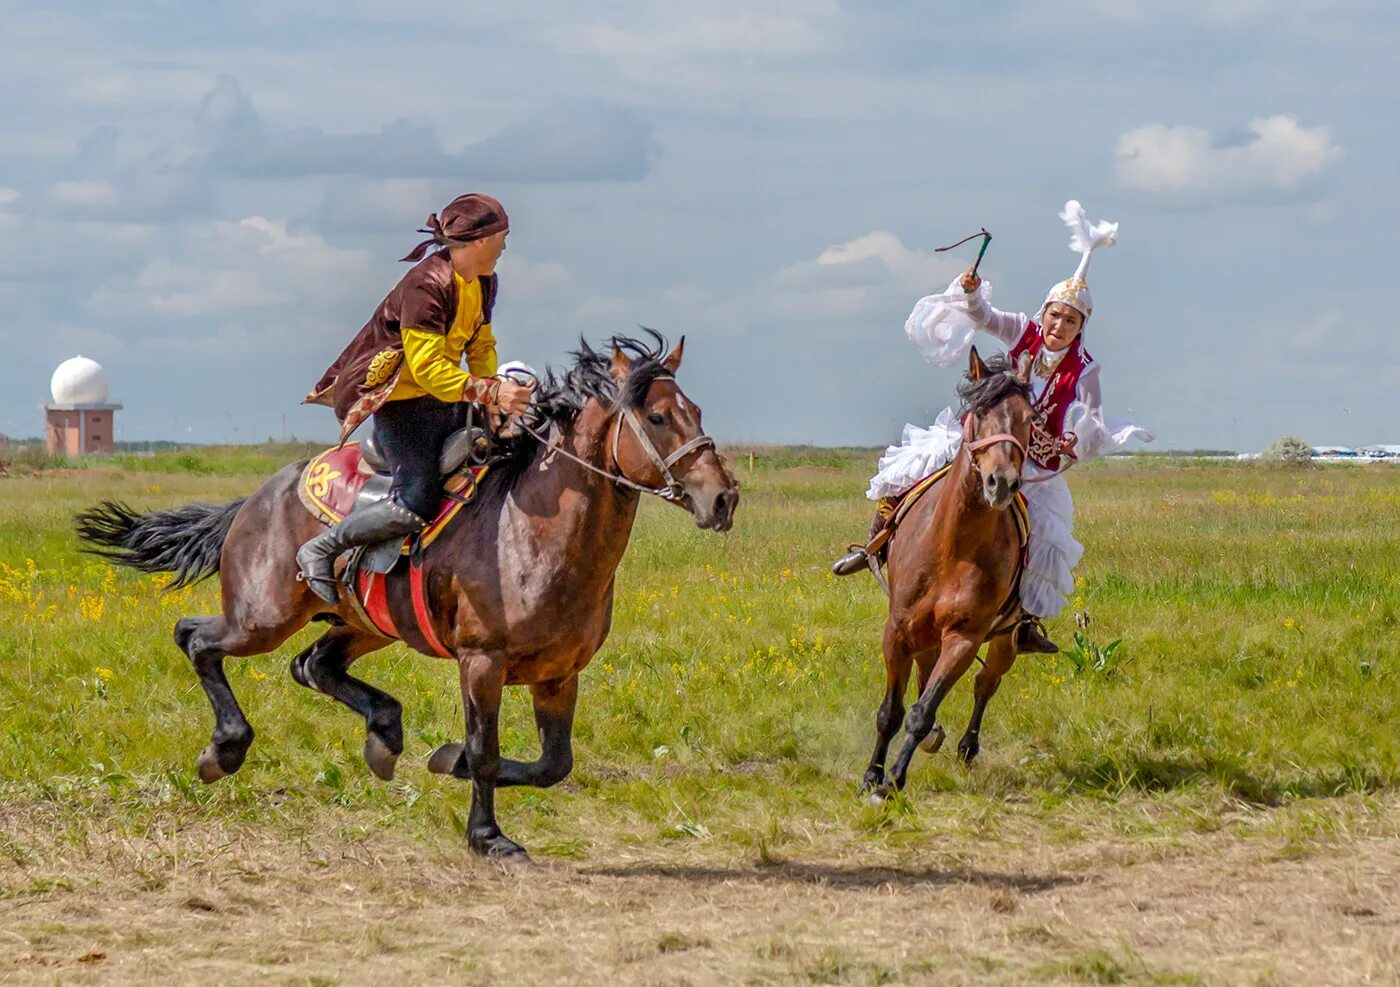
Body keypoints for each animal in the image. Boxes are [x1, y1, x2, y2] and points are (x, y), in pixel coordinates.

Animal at [76, 333, 739, 856]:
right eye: (657, 418)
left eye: (697, 409)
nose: (723, 497)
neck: (533, 533)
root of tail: (255, 500)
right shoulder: (481, 663)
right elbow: (487, 749)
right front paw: (488, 836)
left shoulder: (559, 674)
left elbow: (553, 764)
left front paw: (448, 761)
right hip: (260, 617)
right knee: (196, 638)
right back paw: (225, 750)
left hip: (363, 624)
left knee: (311, 664)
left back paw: (384, 735)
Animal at [856, 347, 1036, 795]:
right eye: (980, 412)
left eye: (1029, 419)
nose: (1001, 483)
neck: (951, 547)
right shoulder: (898, 629)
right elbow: (891, 711)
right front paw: (872, 775)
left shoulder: (964, 638)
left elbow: (921, 712)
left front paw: (893, 781)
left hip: (1004, 640)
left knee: (986, 684)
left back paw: (967, 746)